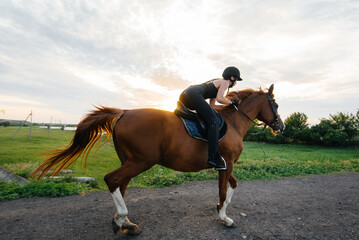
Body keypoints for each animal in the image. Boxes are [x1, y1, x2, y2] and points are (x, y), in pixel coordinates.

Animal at [31, 84, 284, 234]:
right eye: (276, 104)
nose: (280, 127)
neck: (232, 123)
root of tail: (123, 112)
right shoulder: (227, 163)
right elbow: (223, 190)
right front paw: (224, 217)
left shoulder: (226, 165)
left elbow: (233, 185)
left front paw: (221, 209)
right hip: (140, 162)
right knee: (112, 180)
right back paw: (122, 219)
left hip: (130, 161)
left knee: (120, 185)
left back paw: (124, 222)